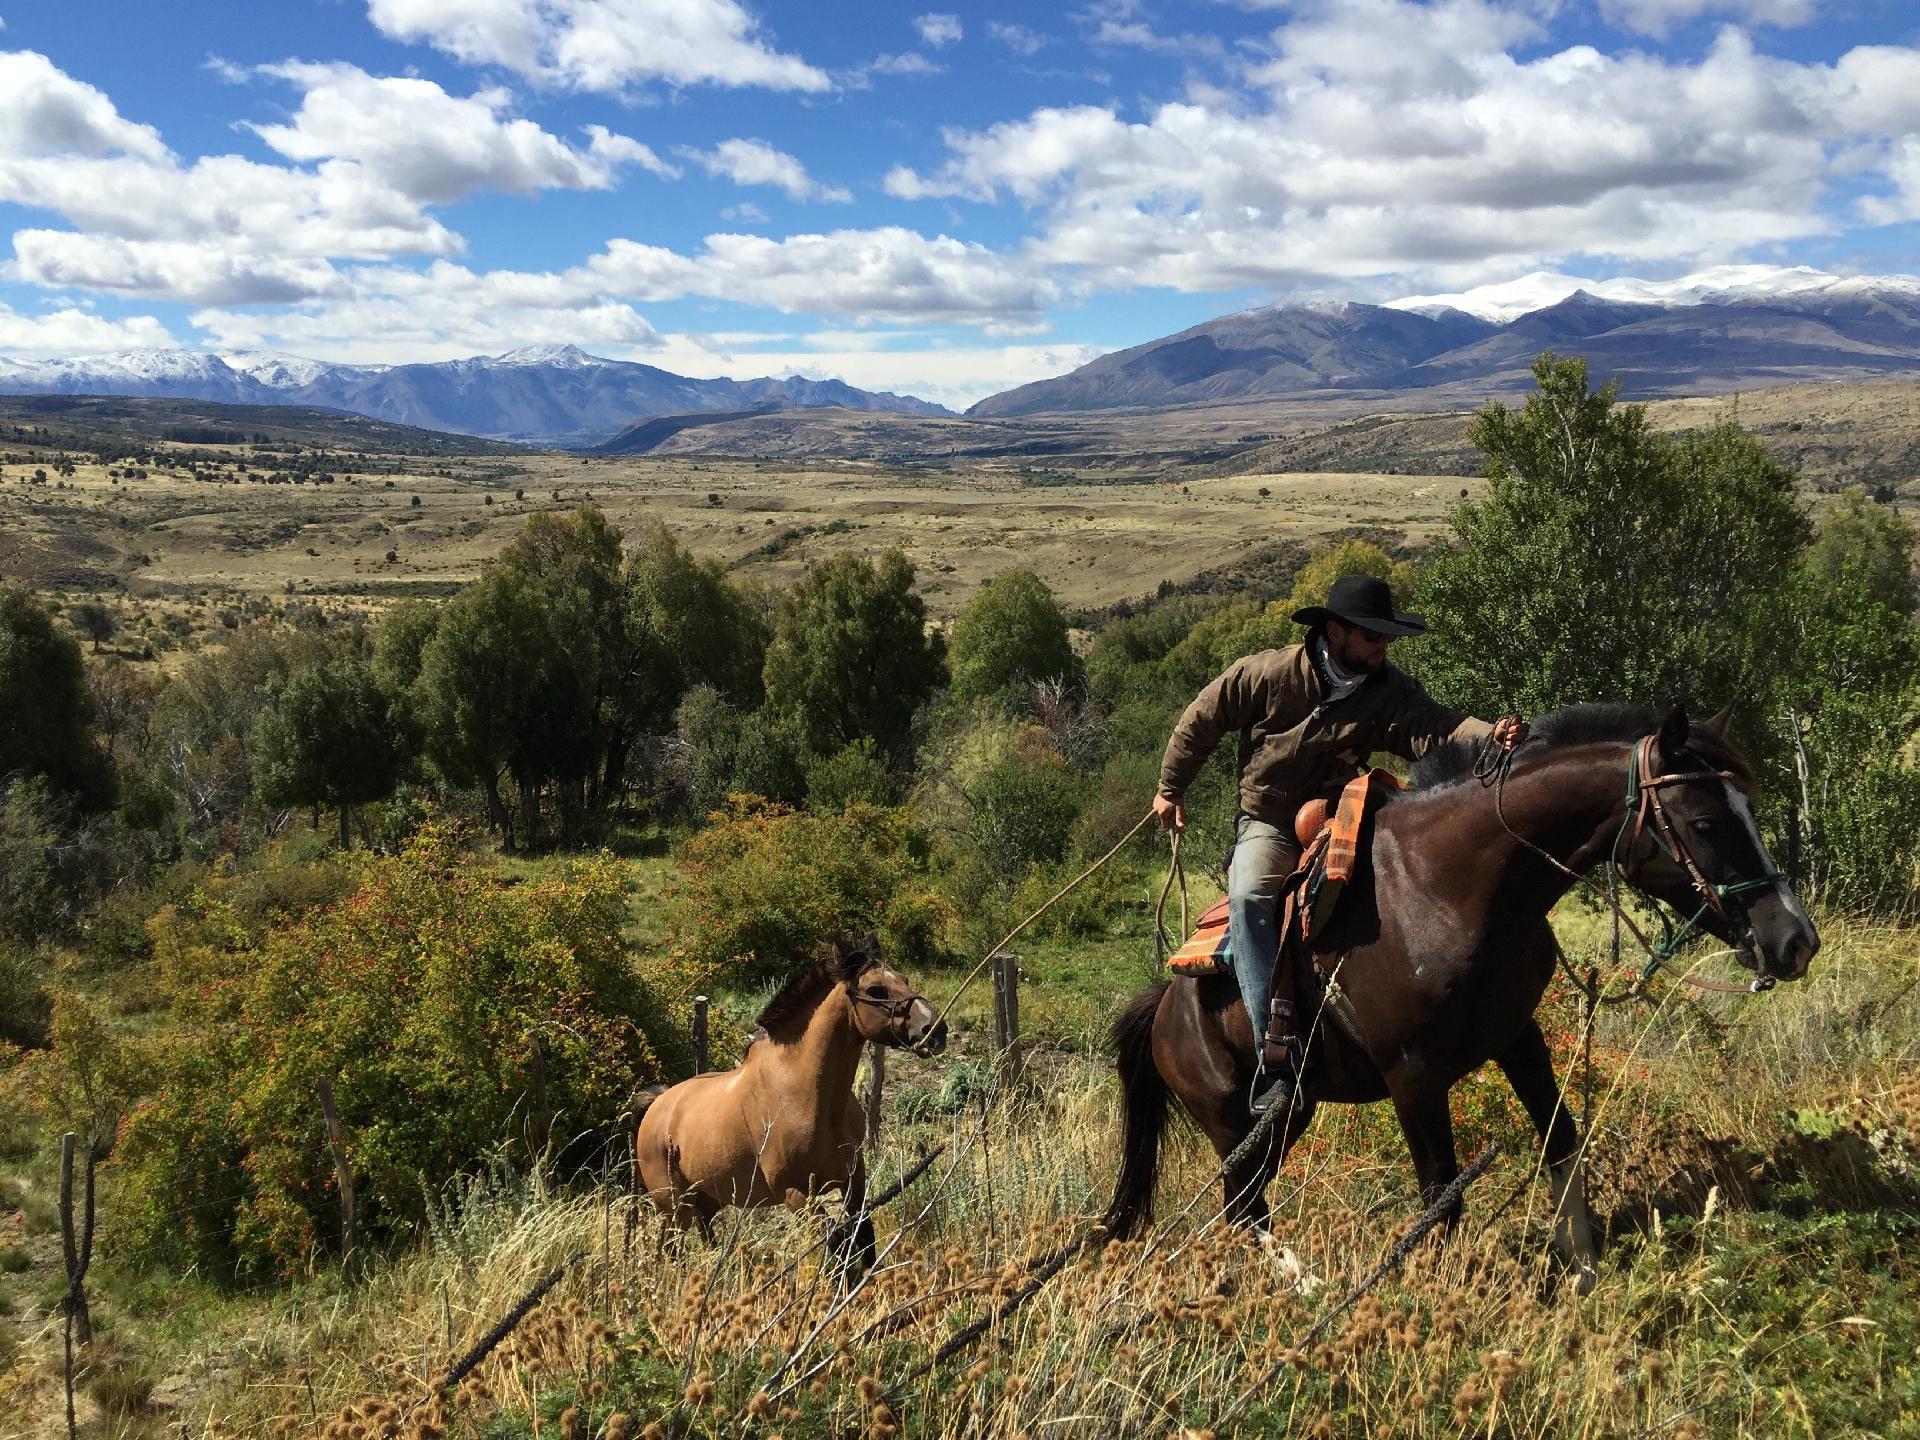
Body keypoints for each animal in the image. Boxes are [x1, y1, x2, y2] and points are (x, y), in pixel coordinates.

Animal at [637, 936, 944, 1274]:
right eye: (876, 990)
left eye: (904, 979)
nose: (935, 1030)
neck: (810, 1096)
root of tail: (656, 1105)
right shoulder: (796, 1194)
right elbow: (835, 1242)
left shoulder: (853, 1177)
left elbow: (863, 1234)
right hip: (673, 1205)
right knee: (671, 1250)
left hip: (707, 1196)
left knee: (703, 1234)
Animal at [1105, 706, 1820, 1290]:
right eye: (1704, 822)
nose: (1794, 941)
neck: (1448, 887)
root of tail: (1164, 1008)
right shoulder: (1412, 1075)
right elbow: (1441, 1196)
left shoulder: (1518, 1037)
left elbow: (1561, 1139)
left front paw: (1583, 1269)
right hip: (1235, 1122)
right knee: (1242, 1205)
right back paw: (1306, 1287)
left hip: (1283, 1121)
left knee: (1243, 1203)